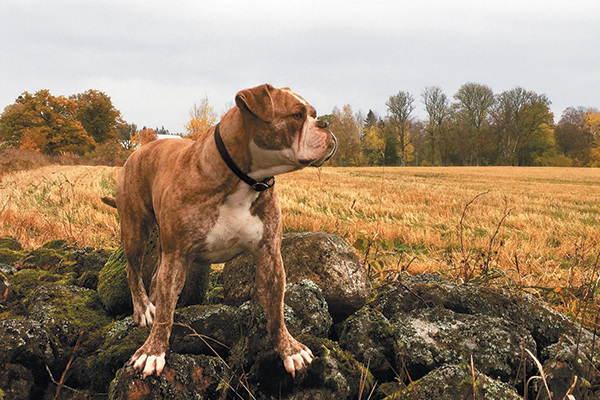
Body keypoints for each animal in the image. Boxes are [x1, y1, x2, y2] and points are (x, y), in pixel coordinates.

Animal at [103, 84, 338, 378]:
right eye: (296, 115)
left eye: (314, 114)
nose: (326, 124)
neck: (244, 180)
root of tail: (138, 150)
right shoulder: (177, 256)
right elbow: (167, 311)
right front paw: (152, 351)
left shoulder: (270, 255)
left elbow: (276, 311)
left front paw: (289, 349)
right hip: (136, 229)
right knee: (133, 271)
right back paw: (145, 309)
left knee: (155, 277)